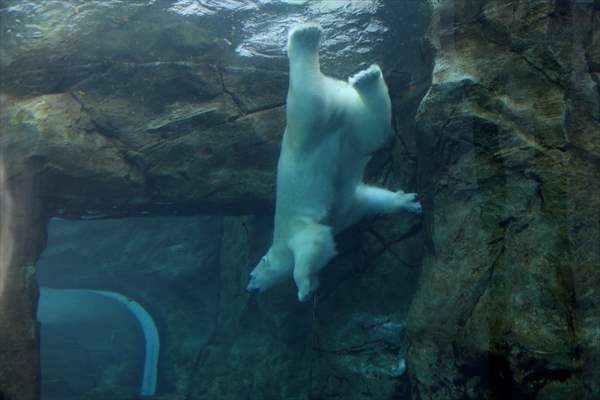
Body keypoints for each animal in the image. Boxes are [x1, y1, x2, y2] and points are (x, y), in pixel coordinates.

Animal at [246, 23, 420, 302]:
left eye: (252, 275)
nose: (249, 288)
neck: (279, 241)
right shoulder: (348, 210)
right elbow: (368, 200)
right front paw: (408, 201)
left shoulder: (296, 228)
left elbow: (311, 243)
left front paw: (305, 288)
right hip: (350, 126)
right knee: (373, 128)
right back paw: (366, 77)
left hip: (308, 126)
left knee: (307, 95)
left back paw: (304, 35)